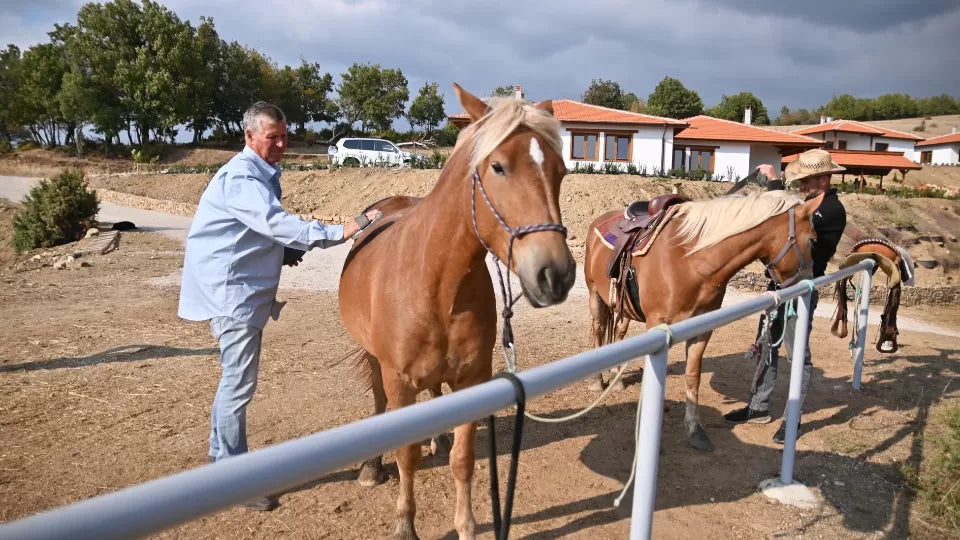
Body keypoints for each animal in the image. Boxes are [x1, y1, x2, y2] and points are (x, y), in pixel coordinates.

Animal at [338, 84, 576, 540]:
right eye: (498, 166)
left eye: (560, 171)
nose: (555, 274)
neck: (437, 280)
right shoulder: (399, 382)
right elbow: (406, 454)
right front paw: (405, 524)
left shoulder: (472, 380)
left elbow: (463, 460)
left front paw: (466, 526)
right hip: (375, 360)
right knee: (378, 400)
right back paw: (371, 467)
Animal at [583, 190, 823, 451]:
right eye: (813, 240)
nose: (811, 287)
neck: (691, 260)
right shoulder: (656, 325)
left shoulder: (702, 329)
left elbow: (693, 376)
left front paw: (695, 430)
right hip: (595, 295)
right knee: (598, 331)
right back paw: (597, 381)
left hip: (622, 307)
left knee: (618, 333)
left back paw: (615, 377)